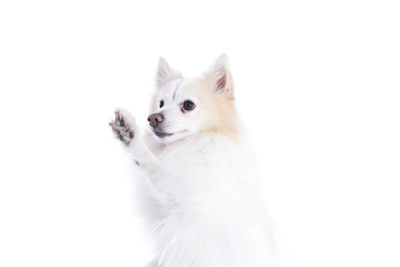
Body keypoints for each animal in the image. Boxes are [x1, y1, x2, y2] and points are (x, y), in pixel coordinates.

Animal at [109, 55, 276, 266]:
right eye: (161, 104)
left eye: (188, 105)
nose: (152, 118)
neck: (191, 144)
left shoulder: (185, 203)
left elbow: (156, 168)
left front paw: (131, 136)